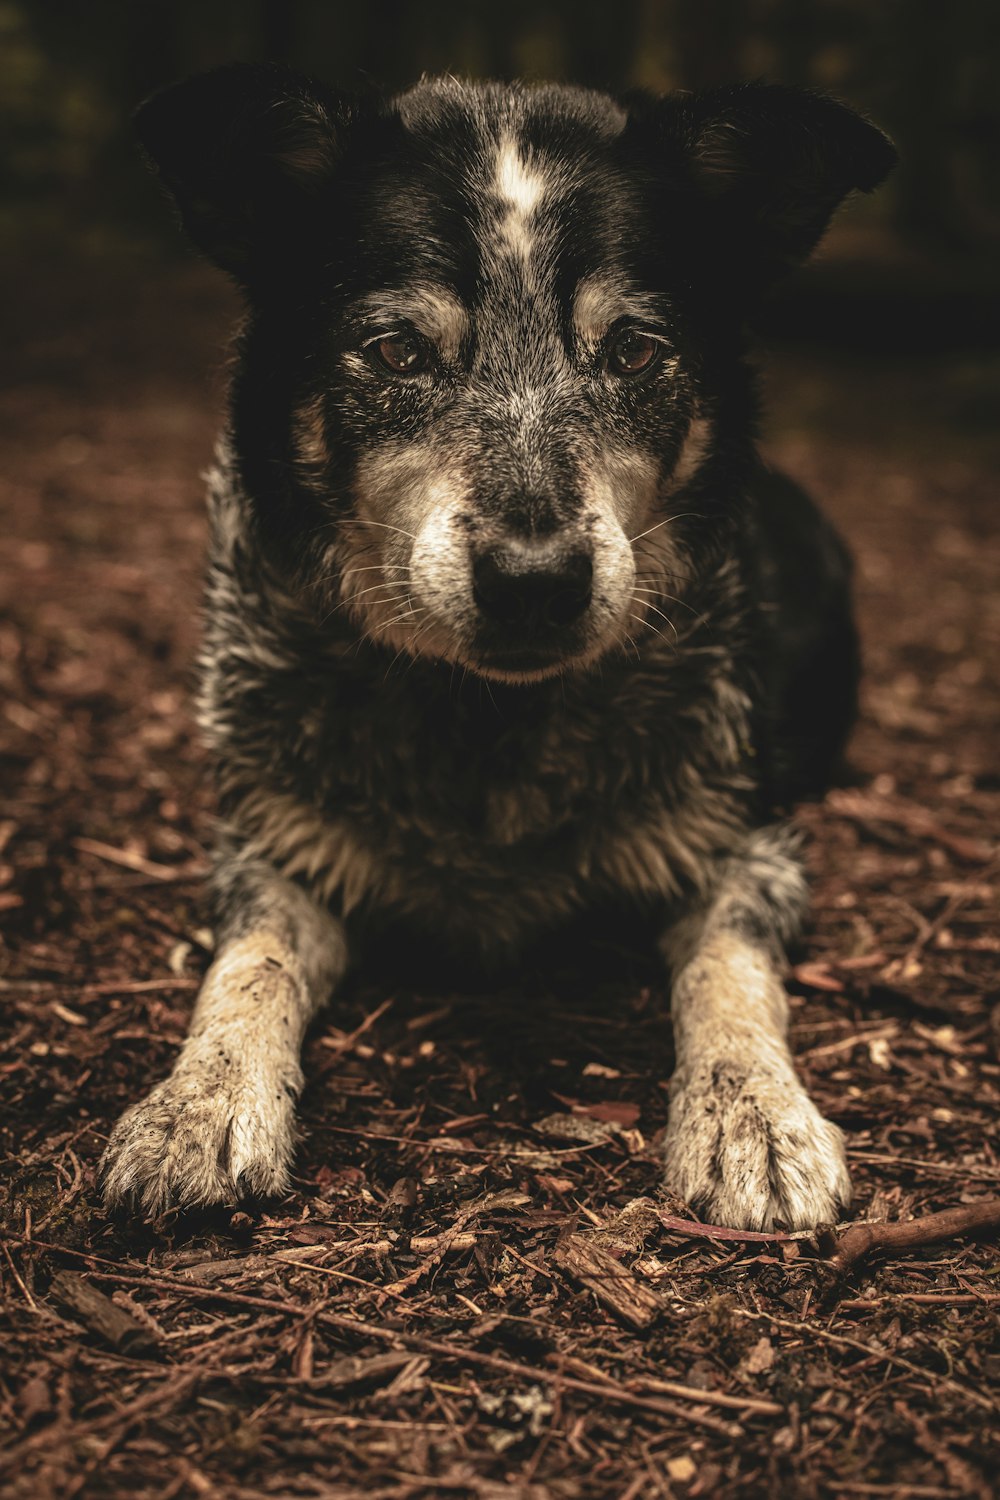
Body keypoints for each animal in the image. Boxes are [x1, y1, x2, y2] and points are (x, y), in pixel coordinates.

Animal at [99, 64, 899, 1230]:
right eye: (396, 351)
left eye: (633, 350)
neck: (489, 722)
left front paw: (755, 1112)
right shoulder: (275, 842)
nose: (535, 583)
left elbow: (731, 973)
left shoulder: (748, 842)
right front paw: (194, 1103)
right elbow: (245, 967)